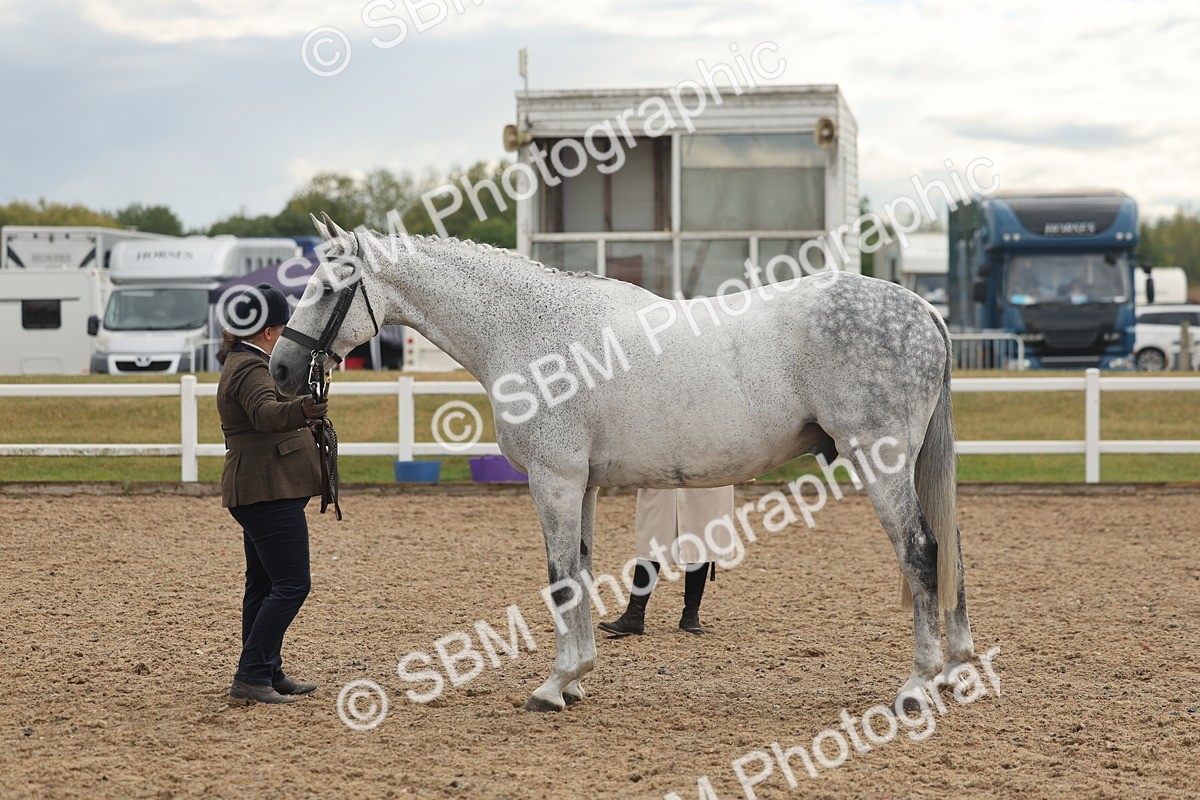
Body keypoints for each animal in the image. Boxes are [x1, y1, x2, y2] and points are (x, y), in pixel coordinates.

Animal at [269, 213, 975, 713]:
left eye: (327, 287)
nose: (280, 367)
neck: (531, 331)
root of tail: (923, 309)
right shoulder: (580, 485)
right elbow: (580, 571)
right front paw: (577, 679)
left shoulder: (553, 480)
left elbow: (559, 577)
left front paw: (553, 686)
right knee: (950, 549)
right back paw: (954, 669)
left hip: (881, 462)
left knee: (922, 551)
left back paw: (916, 686)